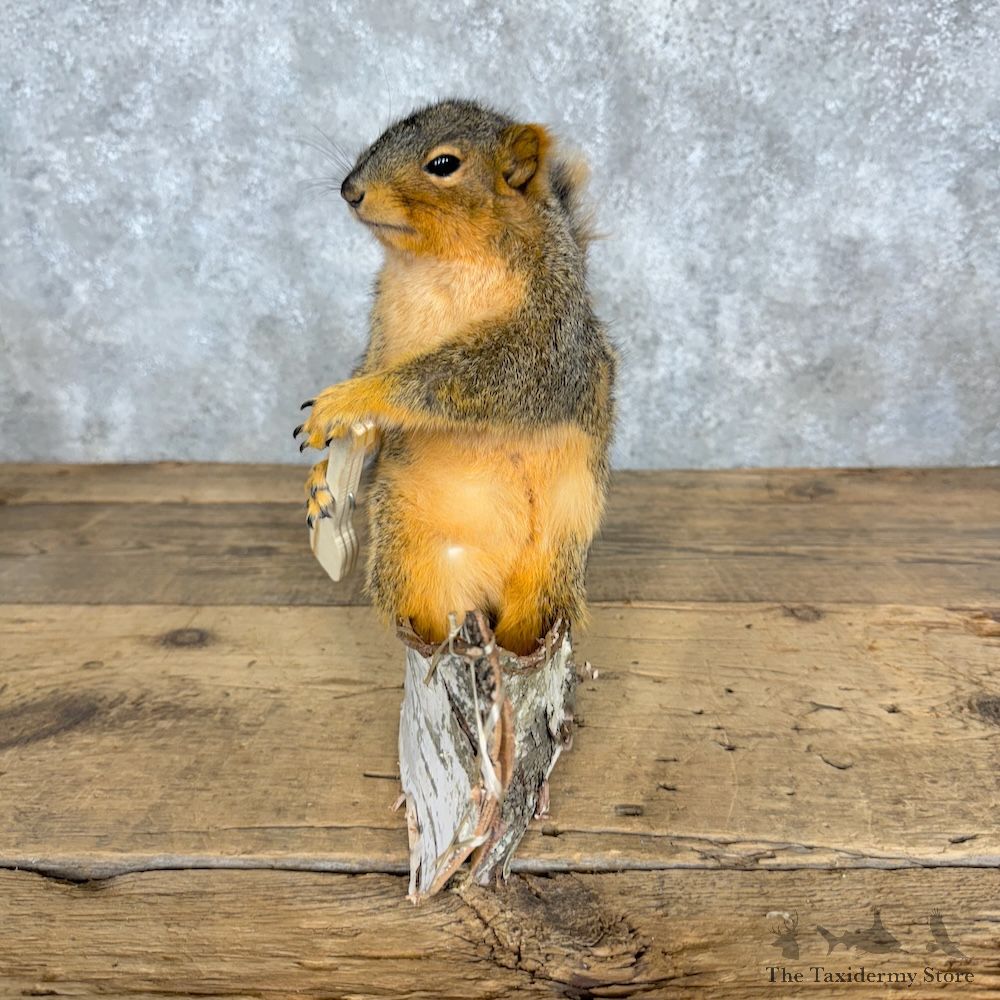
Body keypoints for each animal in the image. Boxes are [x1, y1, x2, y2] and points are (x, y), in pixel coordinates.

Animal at [295, 99, 617, 656]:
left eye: (443, 164)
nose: (350, 190)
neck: (438, 263)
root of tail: (490, 586)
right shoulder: (383, 334)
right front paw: (321, 477)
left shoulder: (552, 339)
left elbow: (482, 374)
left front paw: (349, 400)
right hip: (411, 553)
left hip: (553, 562)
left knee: (529, 617)